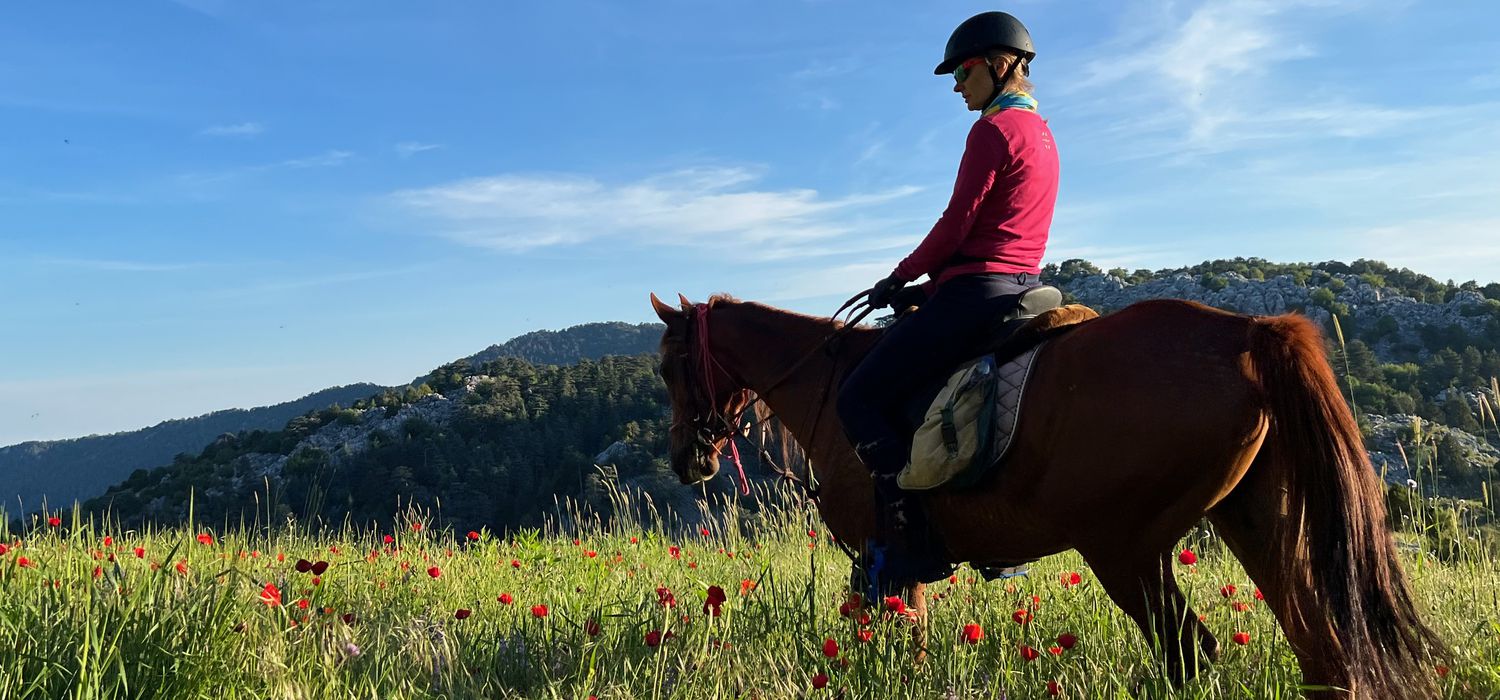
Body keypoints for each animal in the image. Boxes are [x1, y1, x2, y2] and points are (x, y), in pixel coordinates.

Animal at [651, 292, 1446, 700]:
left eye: (667, 367)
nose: (688, 460)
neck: (830, 381)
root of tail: (1248, 334)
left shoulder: (875, 554)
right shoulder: (898, 564)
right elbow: (912, 643)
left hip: (1125, 549)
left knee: (1189, 653)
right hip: (1257, 523)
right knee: (1323, 650)